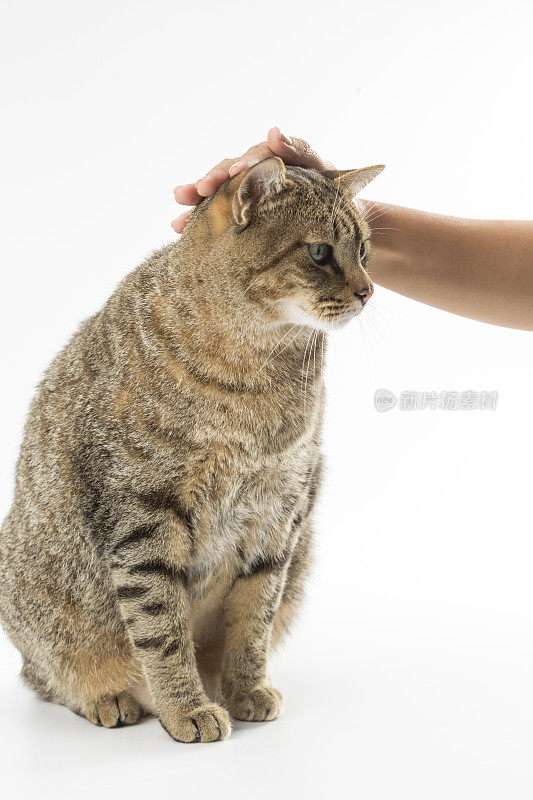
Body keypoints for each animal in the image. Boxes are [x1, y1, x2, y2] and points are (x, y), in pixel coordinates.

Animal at [0, 156, 382, 744]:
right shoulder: (142, 518)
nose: (368, 291)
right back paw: (109, 697)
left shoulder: (280, 516)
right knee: (43, 675)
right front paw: (186, 708)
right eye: (320, 253)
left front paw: (244, 689)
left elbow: (254, 622)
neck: (256, 374)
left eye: (363, 252)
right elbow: (161, 631)